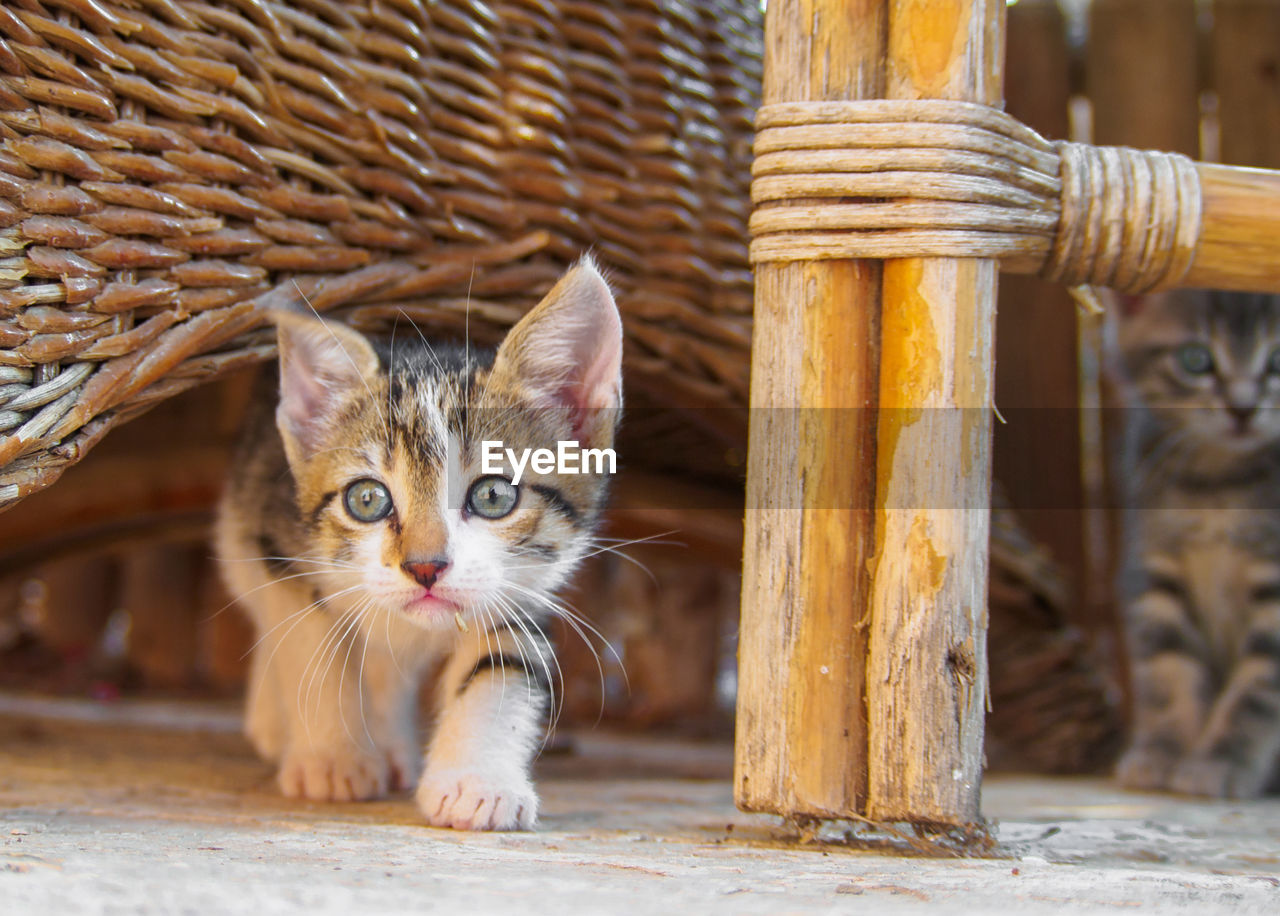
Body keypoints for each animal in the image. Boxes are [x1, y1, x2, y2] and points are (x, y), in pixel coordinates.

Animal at [216, 257, 624, 829]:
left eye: (493, 495)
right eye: (367, 500)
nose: (425, 568)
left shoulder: (519, 589)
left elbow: (500, 665)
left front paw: (477, 781)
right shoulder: (277, 542)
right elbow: (313, 643)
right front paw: (335, 759)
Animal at [1111, 290, 1280, 798]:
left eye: (1279, 358)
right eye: (1195, 359)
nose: (1243, 409)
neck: (1217, 484)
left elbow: (1257, 690)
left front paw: (1219, 762)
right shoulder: (1154, 572)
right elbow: (1167, 671)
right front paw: (1161, 752)